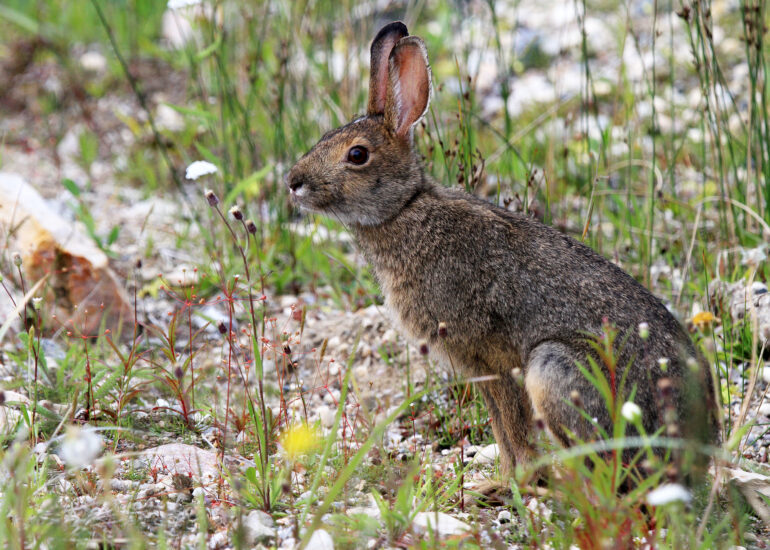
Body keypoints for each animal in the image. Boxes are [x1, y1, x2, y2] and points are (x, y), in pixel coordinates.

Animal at [286, 21, 718, 480]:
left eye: (357, 154)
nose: (293, 182)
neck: (403, 209)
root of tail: (695, 447)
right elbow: (502, 426)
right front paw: (503, 480)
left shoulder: (491, 358)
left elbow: (510, 425)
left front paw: (513, 482)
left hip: (554, 368)